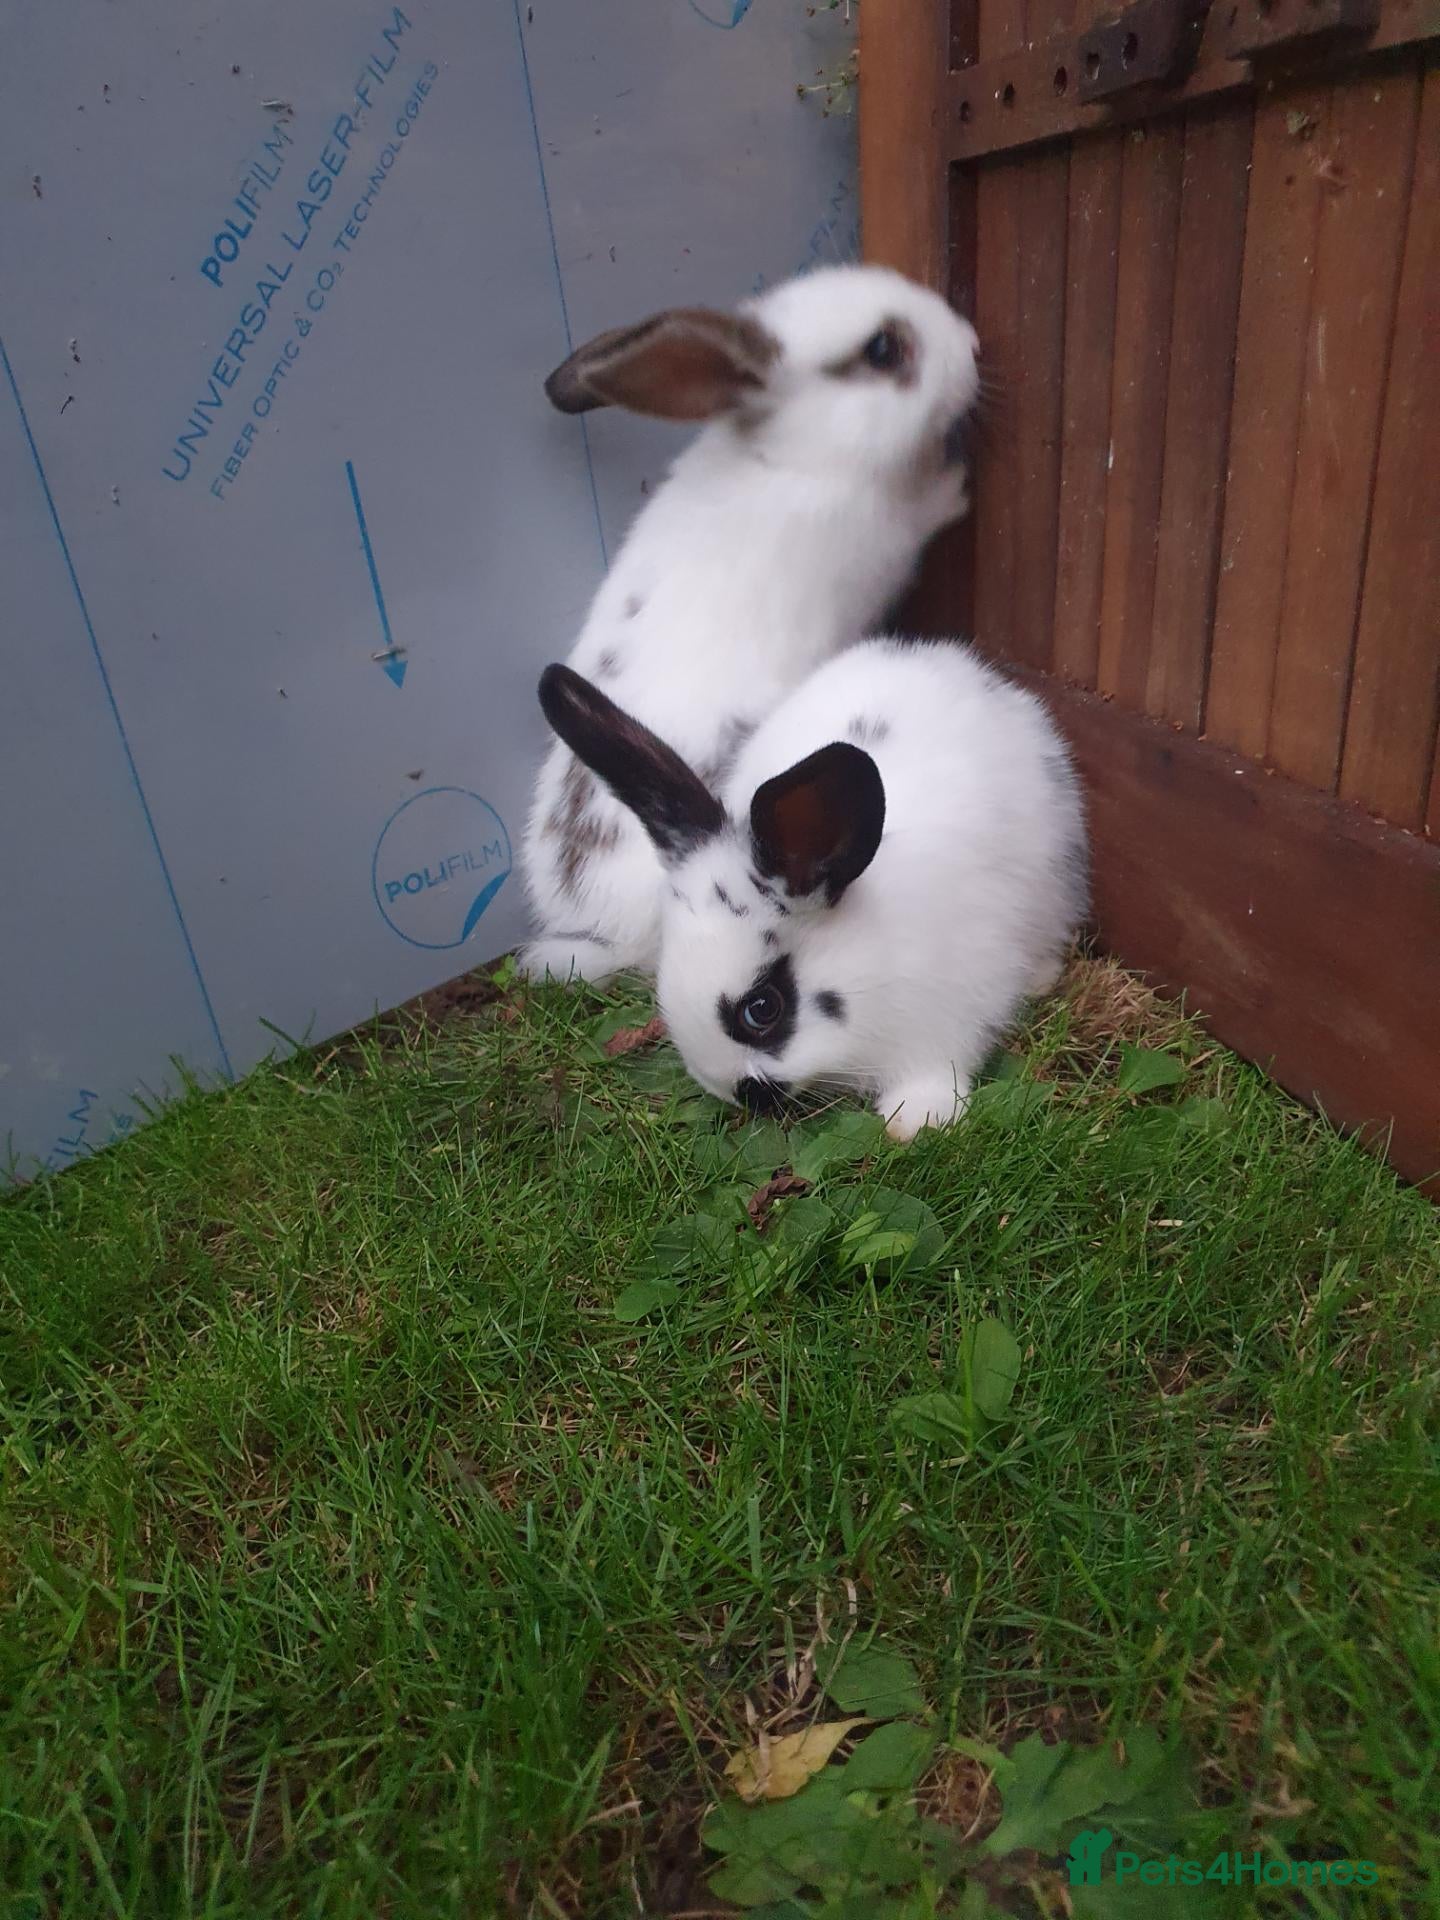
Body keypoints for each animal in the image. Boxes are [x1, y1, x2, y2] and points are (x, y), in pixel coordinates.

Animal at [520, 264, 983, 987]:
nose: (974, 346)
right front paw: (957, 484)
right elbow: (927, 510)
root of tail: (599, 929)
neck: (797, 455)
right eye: (883, 349)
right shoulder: (891, 538)